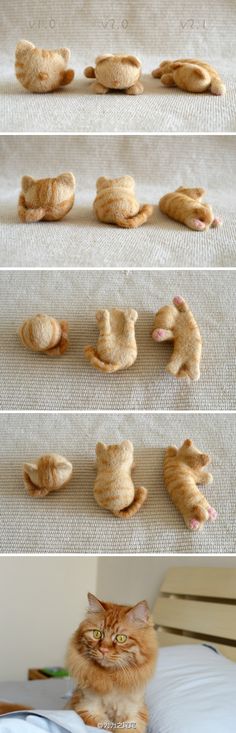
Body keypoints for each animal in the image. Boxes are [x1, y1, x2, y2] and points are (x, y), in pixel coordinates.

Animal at [65, 592, 158, 728]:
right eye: (97, 634)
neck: (112, 678)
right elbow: (104, 725)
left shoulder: (135, 712)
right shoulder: (86, 707)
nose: (103, 650)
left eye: (121, 638)